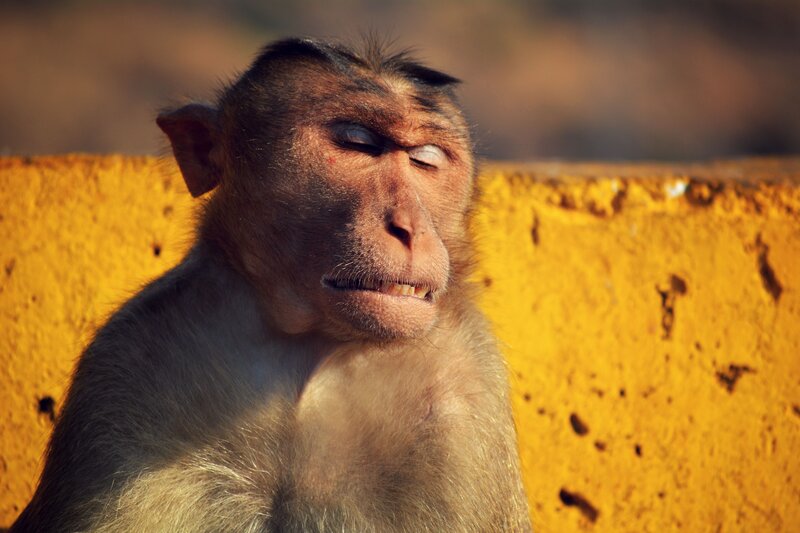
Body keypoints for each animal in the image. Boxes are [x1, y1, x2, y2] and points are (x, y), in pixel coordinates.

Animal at [12, 37, 531, 533]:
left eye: (426, 159)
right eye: (358, 144)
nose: (409, 228)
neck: (308, 348)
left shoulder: (466, 400)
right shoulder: (127, 365)